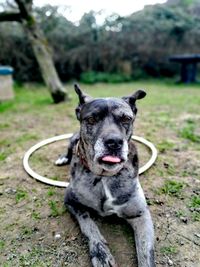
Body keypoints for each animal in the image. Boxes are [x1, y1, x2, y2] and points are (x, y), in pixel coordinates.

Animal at [55, 84, 155, 267]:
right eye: (91, 119)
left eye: (126, 119)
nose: (114, 142)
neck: (104, 177)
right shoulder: (71, 202)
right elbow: (88, 225)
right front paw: (101, 254)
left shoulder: (141, 215)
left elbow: (146, 254)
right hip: (73, 139)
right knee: (69, 149)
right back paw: (63, 158)